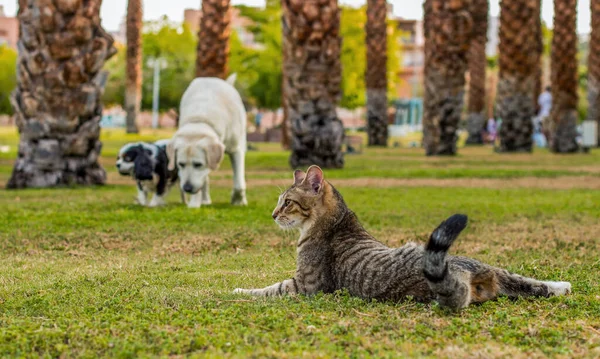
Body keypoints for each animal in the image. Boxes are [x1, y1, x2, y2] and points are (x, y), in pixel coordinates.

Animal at [166, 75, 246, 210]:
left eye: (198, 164)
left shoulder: (236, 150)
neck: (200, 119)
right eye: (180, 164)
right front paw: (194, 204)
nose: (187, 188)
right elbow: (202, 182)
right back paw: (205, 199)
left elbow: (239, 184)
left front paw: (238, 201)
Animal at [233, 167, 572, 310]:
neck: (336, 222)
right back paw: (560, 286)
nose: (273, 215)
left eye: (287, 202)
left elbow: (268, 289)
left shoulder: (305, 286)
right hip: (492, 269)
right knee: (526, 283)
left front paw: (238, 290)